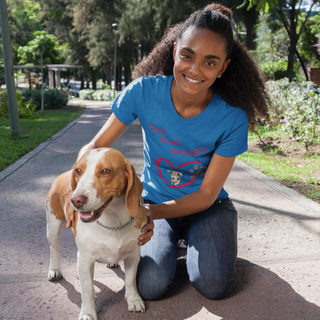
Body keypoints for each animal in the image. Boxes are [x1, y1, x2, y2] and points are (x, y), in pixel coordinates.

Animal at [46, 148, 148, 318]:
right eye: (78, 171)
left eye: (106, 171)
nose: (75, 200)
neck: (113, 223)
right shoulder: (84, 260)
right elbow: (87, 289)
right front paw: (88, 312)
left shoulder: (133, 254)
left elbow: (130, 280)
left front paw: (134, 300)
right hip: (53, 226)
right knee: (54, 247)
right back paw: (54, 270)